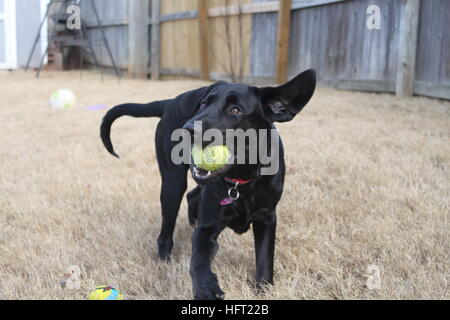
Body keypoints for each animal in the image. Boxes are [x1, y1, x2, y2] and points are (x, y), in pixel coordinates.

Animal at [100, 69, 314, 298]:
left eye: (235, 110)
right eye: (204, 103)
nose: (187, 129)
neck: (242, 180)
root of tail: (171, 102)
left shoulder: (267, 218)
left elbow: (265, 258)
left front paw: (263, 288)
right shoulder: (207, 228)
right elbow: (199, 259)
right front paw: (206, 288)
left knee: (192, 196)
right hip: (172, 185)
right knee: (166, 231)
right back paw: (165, 260)